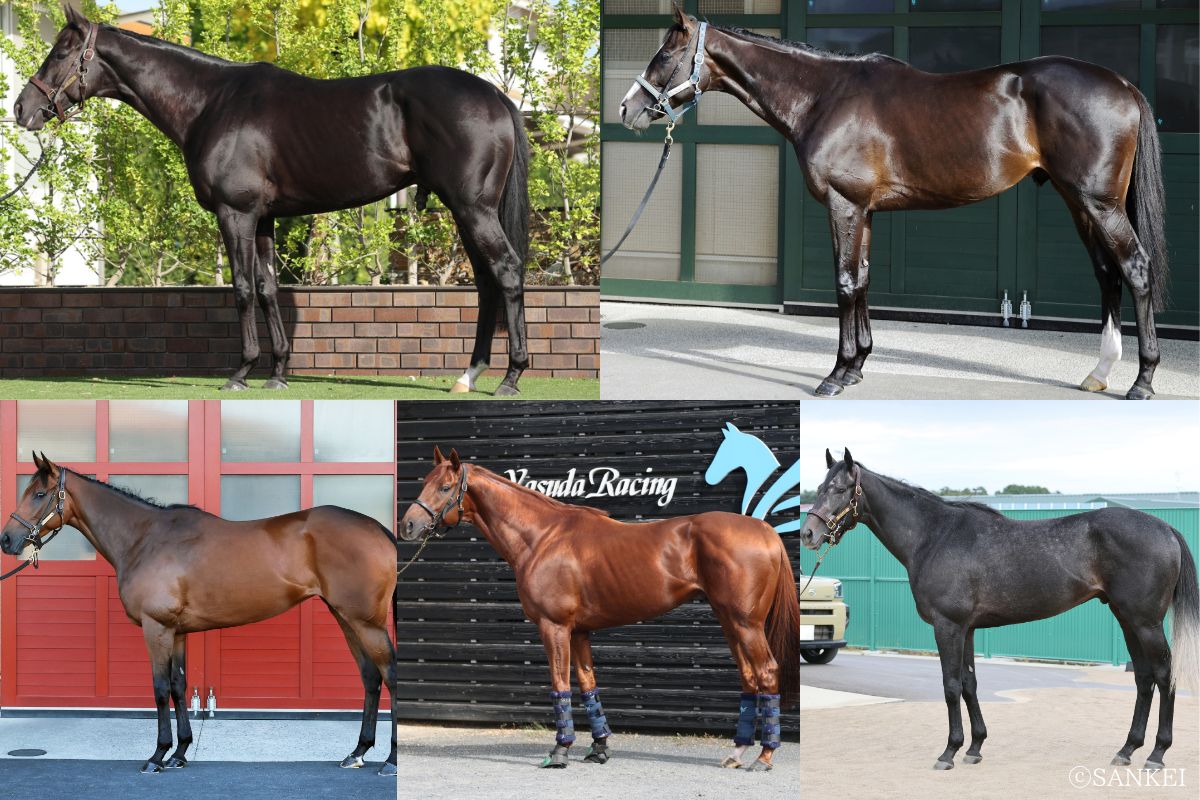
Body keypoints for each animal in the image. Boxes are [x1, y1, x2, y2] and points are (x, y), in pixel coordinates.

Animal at [0, 453, 399, 776]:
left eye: (39, 494)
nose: (6, 540)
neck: (145, 538)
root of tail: (377, 528)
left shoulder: (156, 628)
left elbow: (160, 689)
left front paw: (157, 757)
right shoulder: (176, 632)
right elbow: (179, 687)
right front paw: (179, 753)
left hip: (365, 623)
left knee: (390, 676)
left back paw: (391, 762)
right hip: (346, 618)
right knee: (370, 678)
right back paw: (358, 752)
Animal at [14, 4, 530, 395]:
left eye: (61, 51)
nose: (22, 109)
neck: (211, 103)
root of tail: (495, 96)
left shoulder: (235, 214)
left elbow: (243, 288)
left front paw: (241, 372)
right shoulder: (263, 219)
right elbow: (267, 288)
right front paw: (278, 372)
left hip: (473, 208)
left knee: (506, 272)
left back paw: (511, 376)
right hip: (466, 212)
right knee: (486, 282)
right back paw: (468, 375)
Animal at [399, 446, 800, 771]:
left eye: (445, 488)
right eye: (426, 482)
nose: (408, 525)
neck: (542, 536)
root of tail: (765, 531)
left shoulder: (554, 626)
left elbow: (560, 684)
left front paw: (560, 751)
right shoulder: (579, 631)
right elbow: (588, 684)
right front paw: (599, 749)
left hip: (746, 624)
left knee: (766, 673)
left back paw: (765, 756)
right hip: (729, 621)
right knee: (749, 677)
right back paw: (737, 753)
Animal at [621, 4, 1169, 400]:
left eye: (663, 56)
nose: (628, 109)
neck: (824, 96)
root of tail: (1123, 84)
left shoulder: (842, 205)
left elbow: (845, 282)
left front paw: (834, 376)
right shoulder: (863, 210)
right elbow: (863, 279)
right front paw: (857, 366)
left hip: (1098, 203)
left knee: (1135, 268)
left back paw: (1143, 382)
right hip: (1079, 202)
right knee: (1107, 273)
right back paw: (1099, 372)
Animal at [800, 449, 1199, 771]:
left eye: (839, 489)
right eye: (819, 487)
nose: (808, 534)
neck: (935, 536)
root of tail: (1166, 528)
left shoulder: (947, 626)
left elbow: (950, 686)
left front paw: (949, 752)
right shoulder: (967, 629)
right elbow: (969, 683)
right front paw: (974, 748)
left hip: (1145, 623)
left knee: (1164, 675)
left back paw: (1157, 754)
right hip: (1127, 619)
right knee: (1144, 679)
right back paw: (1127, 750)